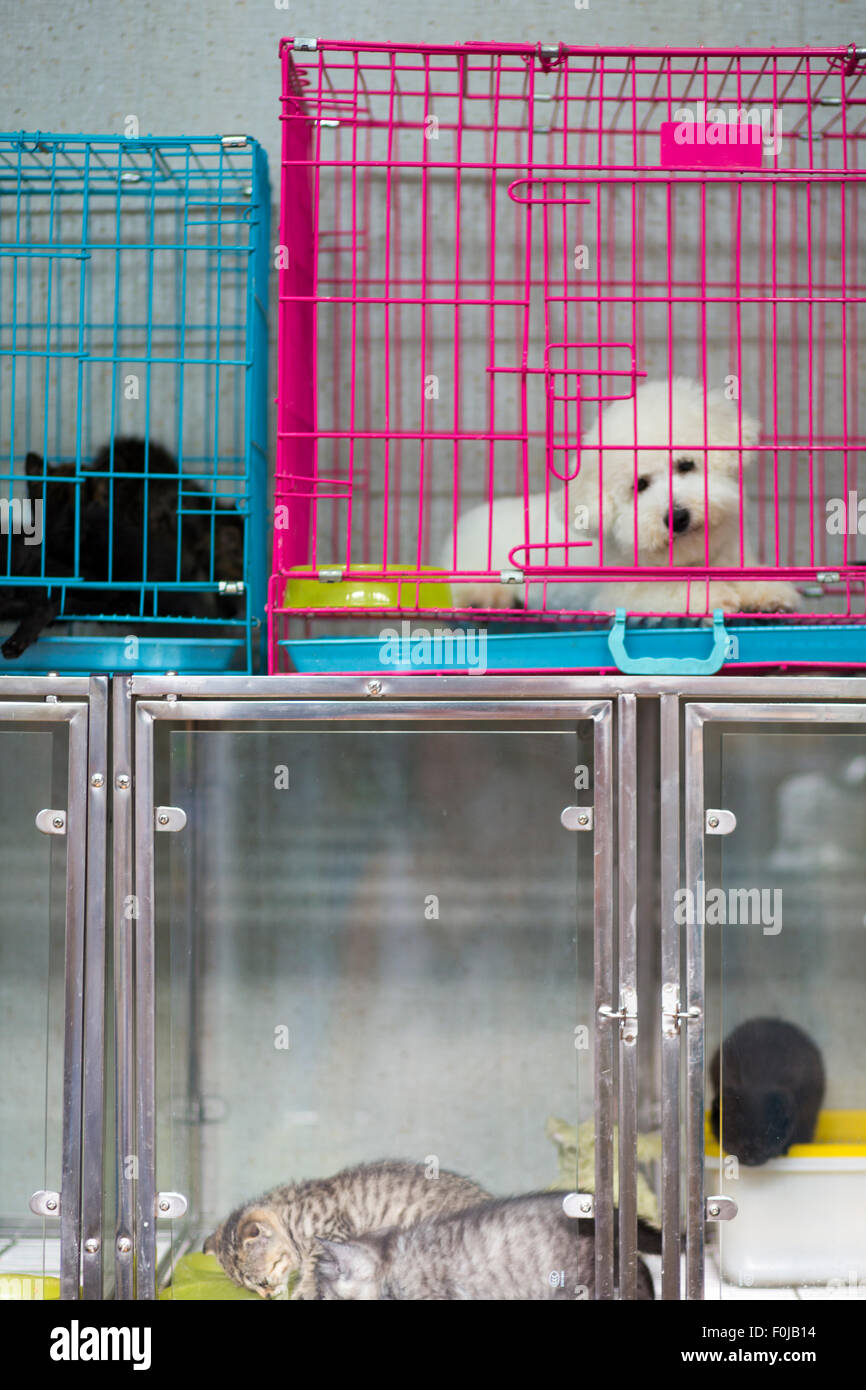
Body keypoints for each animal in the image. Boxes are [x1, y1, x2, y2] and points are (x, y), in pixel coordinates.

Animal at [201, 1162, 489, 1301]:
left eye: (263, 1283)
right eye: (253, 1290)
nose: (269, 1295)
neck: (289, 1215)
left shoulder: (331, 1230)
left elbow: (315, 1264)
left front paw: (304, 1290)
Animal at [444, 380, 800, 619]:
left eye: (686, 464)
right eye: (639, 485)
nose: (677, 516)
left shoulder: (731, 555)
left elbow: (750, 574)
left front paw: (767, 592)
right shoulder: (621, 594)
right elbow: (666, 593)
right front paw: (709, 596)